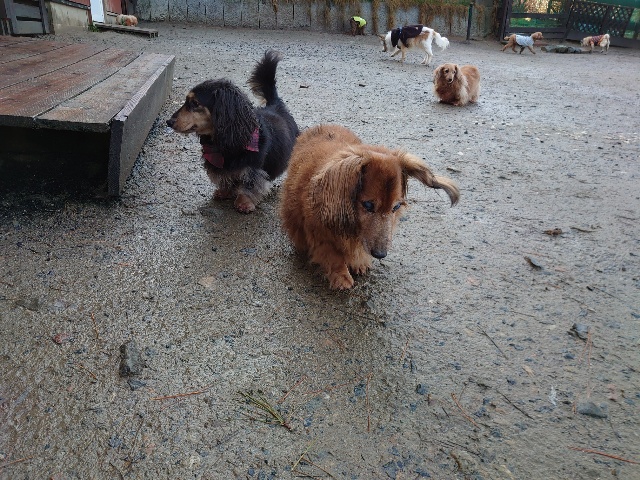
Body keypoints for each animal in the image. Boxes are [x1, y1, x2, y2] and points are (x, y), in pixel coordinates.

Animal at [167, 50, 299, 213]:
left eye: (195, 103)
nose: (168, 122)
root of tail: (275, 104)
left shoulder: (253, 170)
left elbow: (250, 186)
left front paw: (244, 202)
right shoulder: (219, 166)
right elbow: (225, 179)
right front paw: (224, 192)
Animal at [279, 125, 459, 290]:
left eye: (396, 207)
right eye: (368, 205)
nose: (380, 254)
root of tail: (322, 126)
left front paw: (360, 263)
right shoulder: (320, 236)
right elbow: (333, 256)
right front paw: (341, 276)